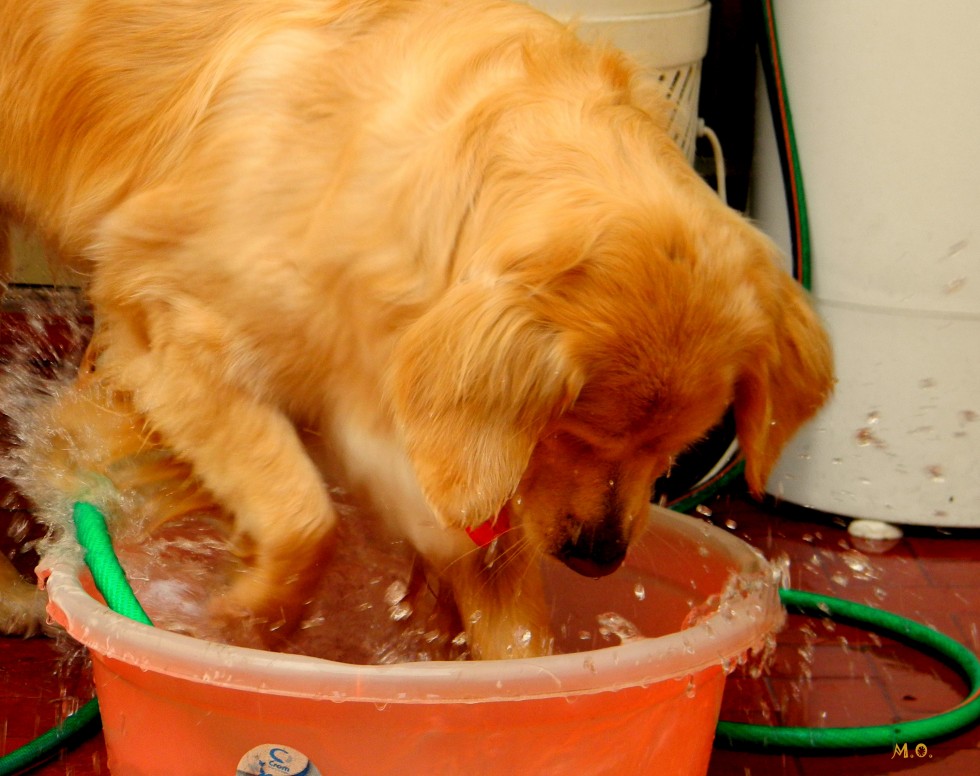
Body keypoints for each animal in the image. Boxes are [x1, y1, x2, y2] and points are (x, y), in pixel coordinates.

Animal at [1, 0, 836, 656]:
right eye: (570, 431)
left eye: (677, 449)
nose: (599, 557)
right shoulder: (169, 320)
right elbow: (304, 517)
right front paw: (254, 618)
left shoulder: (465, 470)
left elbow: (515, 632)